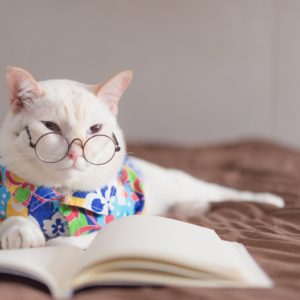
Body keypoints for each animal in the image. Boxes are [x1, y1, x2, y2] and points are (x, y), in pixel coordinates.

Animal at [0, 67, 284, 250]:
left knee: (225, 192)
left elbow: (76, 238)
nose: (75, 151)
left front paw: (57, 241)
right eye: (51, 127)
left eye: (94, 129)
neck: (62, 193)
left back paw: (272, 200)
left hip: (187, 184)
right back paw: (192, 208)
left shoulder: (110, 223)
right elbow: (15, 218)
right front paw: (21, 230)